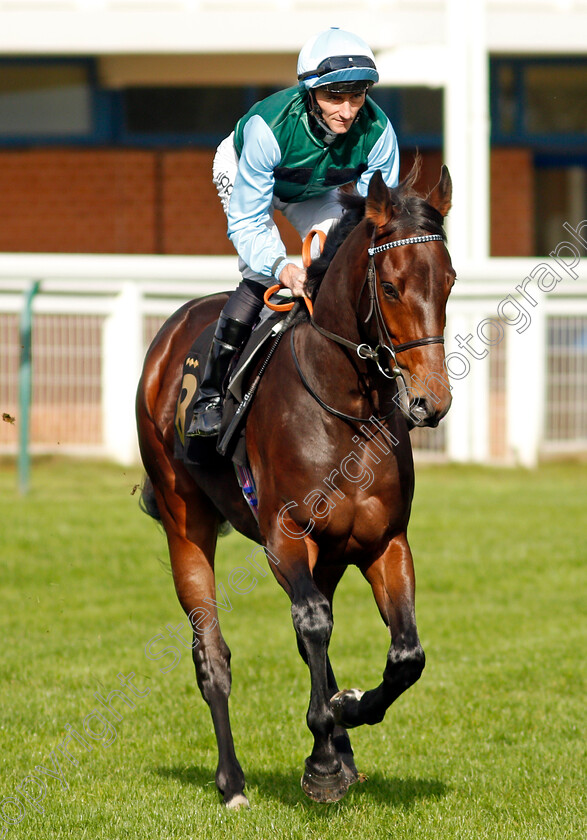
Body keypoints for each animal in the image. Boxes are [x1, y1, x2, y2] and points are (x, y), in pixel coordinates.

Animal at [137, 164, 454, 808]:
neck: (345, 407)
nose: (430, 401)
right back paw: (233, 781)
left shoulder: (384, 541)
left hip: (329, 554)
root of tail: (168, 335)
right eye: (391, 287)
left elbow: (405, 654)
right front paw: (325, 755)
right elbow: (311, 624)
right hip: (186, 524)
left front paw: (345, 717)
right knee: (213, 655)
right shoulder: (284, 535)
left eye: (451, 280)